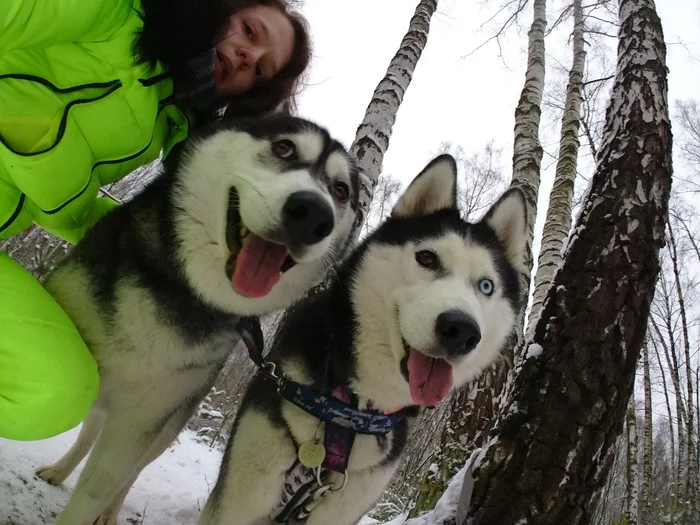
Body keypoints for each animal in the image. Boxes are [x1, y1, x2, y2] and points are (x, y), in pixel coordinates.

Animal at [34, 114, 358, 524]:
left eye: (341, 191)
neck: (189, 295)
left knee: (130, 471)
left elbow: (102, 485)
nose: (314, 214)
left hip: (165, 427)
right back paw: (59, 470)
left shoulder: (143, 420)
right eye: (284, 147)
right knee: (88, 433)